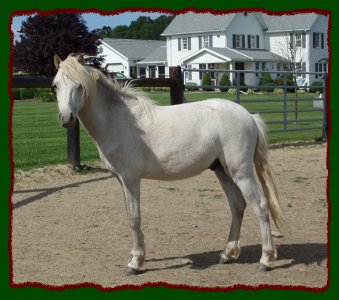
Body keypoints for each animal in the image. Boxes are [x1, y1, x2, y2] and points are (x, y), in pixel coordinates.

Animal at [53, 53, 286, 274]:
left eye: (79, 85)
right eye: (55, 85)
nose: (66, 118)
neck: (120, 121)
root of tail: (249, 116)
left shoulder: (130, 179)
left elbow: (134, 218)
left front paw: (135, 263)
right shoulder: (121, 180)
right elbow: (130, 215)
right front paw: (135, 256)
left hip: (241, 172)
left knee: (261, 206)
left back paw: (265, 260)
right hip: (222, 171)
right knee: (237, 206)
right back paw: (227, 254)